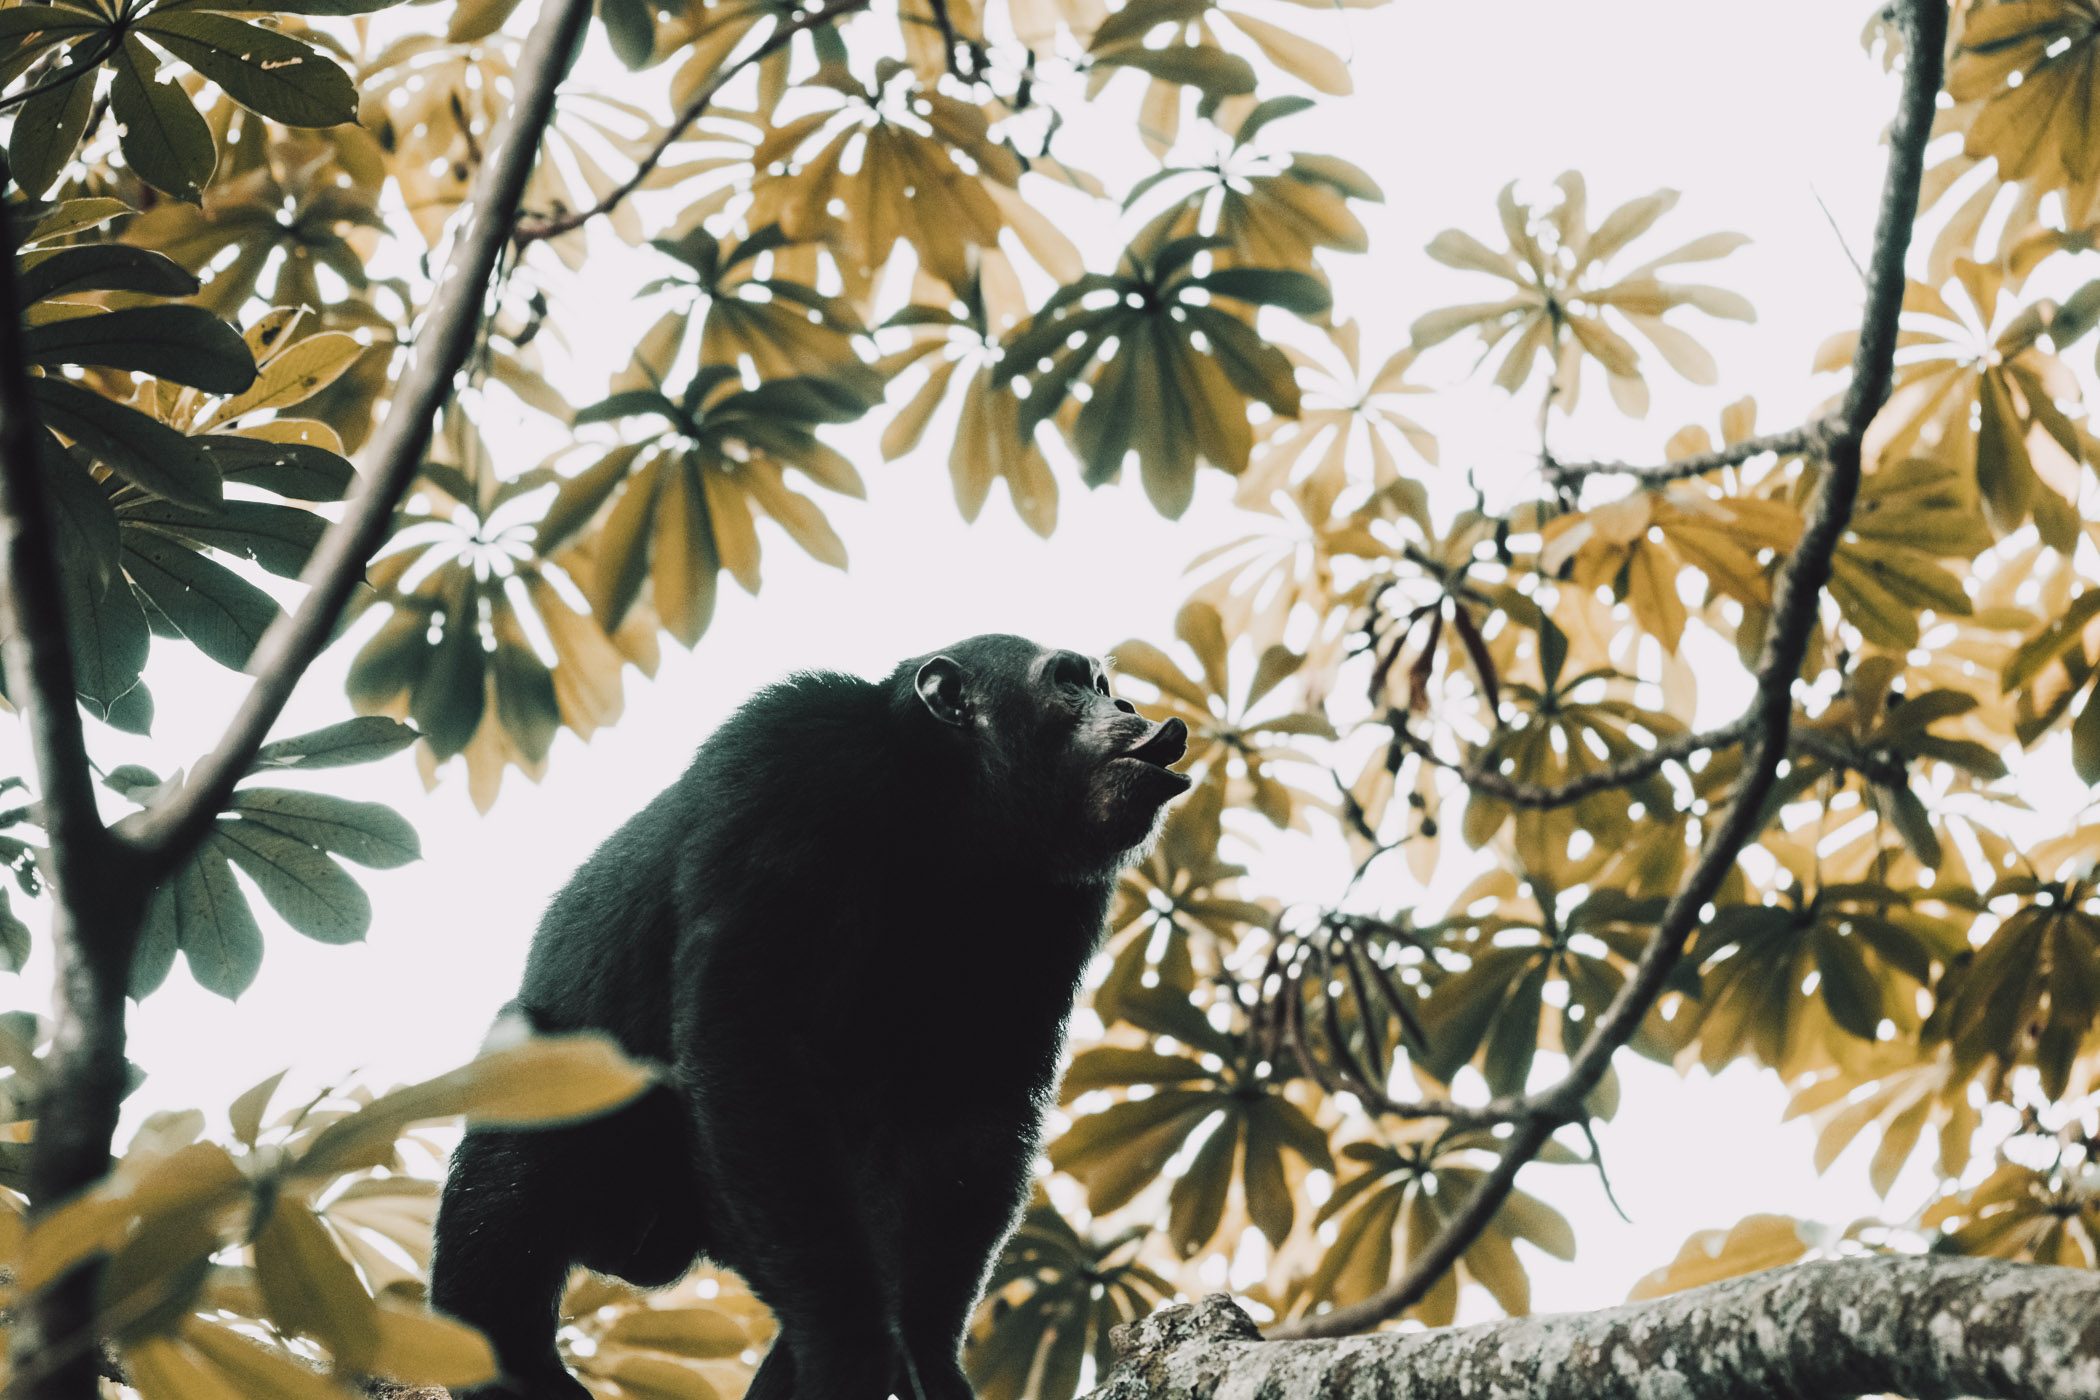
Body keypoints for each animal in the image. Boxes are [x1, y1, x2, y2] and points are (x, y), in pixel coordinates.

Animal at [426, 638, 1192, 1400]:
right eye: (1071, 683)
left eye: (1103, 686)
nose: (1126, 704)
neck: (948, 804)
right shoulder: (794, 755)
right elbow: (750, 1029)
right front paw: (847, 1345)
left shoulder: (1061, 901)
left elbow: (977, 1116)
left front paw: (926, 1348)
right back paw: (506, 1361)